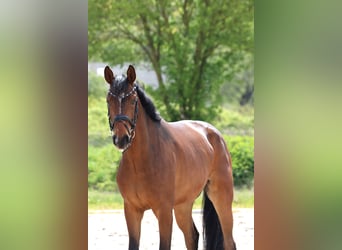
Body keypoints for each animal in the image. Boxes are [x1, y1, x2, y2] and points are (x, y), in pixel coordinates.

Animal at [103, 65, 235, 250]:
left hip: (221, 197)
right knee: (192, 236)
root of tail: (214, 133)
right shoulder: (131, 210)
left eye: (133, 101)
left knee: (229, 241)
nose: (121, 139)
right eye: (109, 101)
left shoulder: (164, 211)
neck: (141, 161)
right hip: (183, 206)